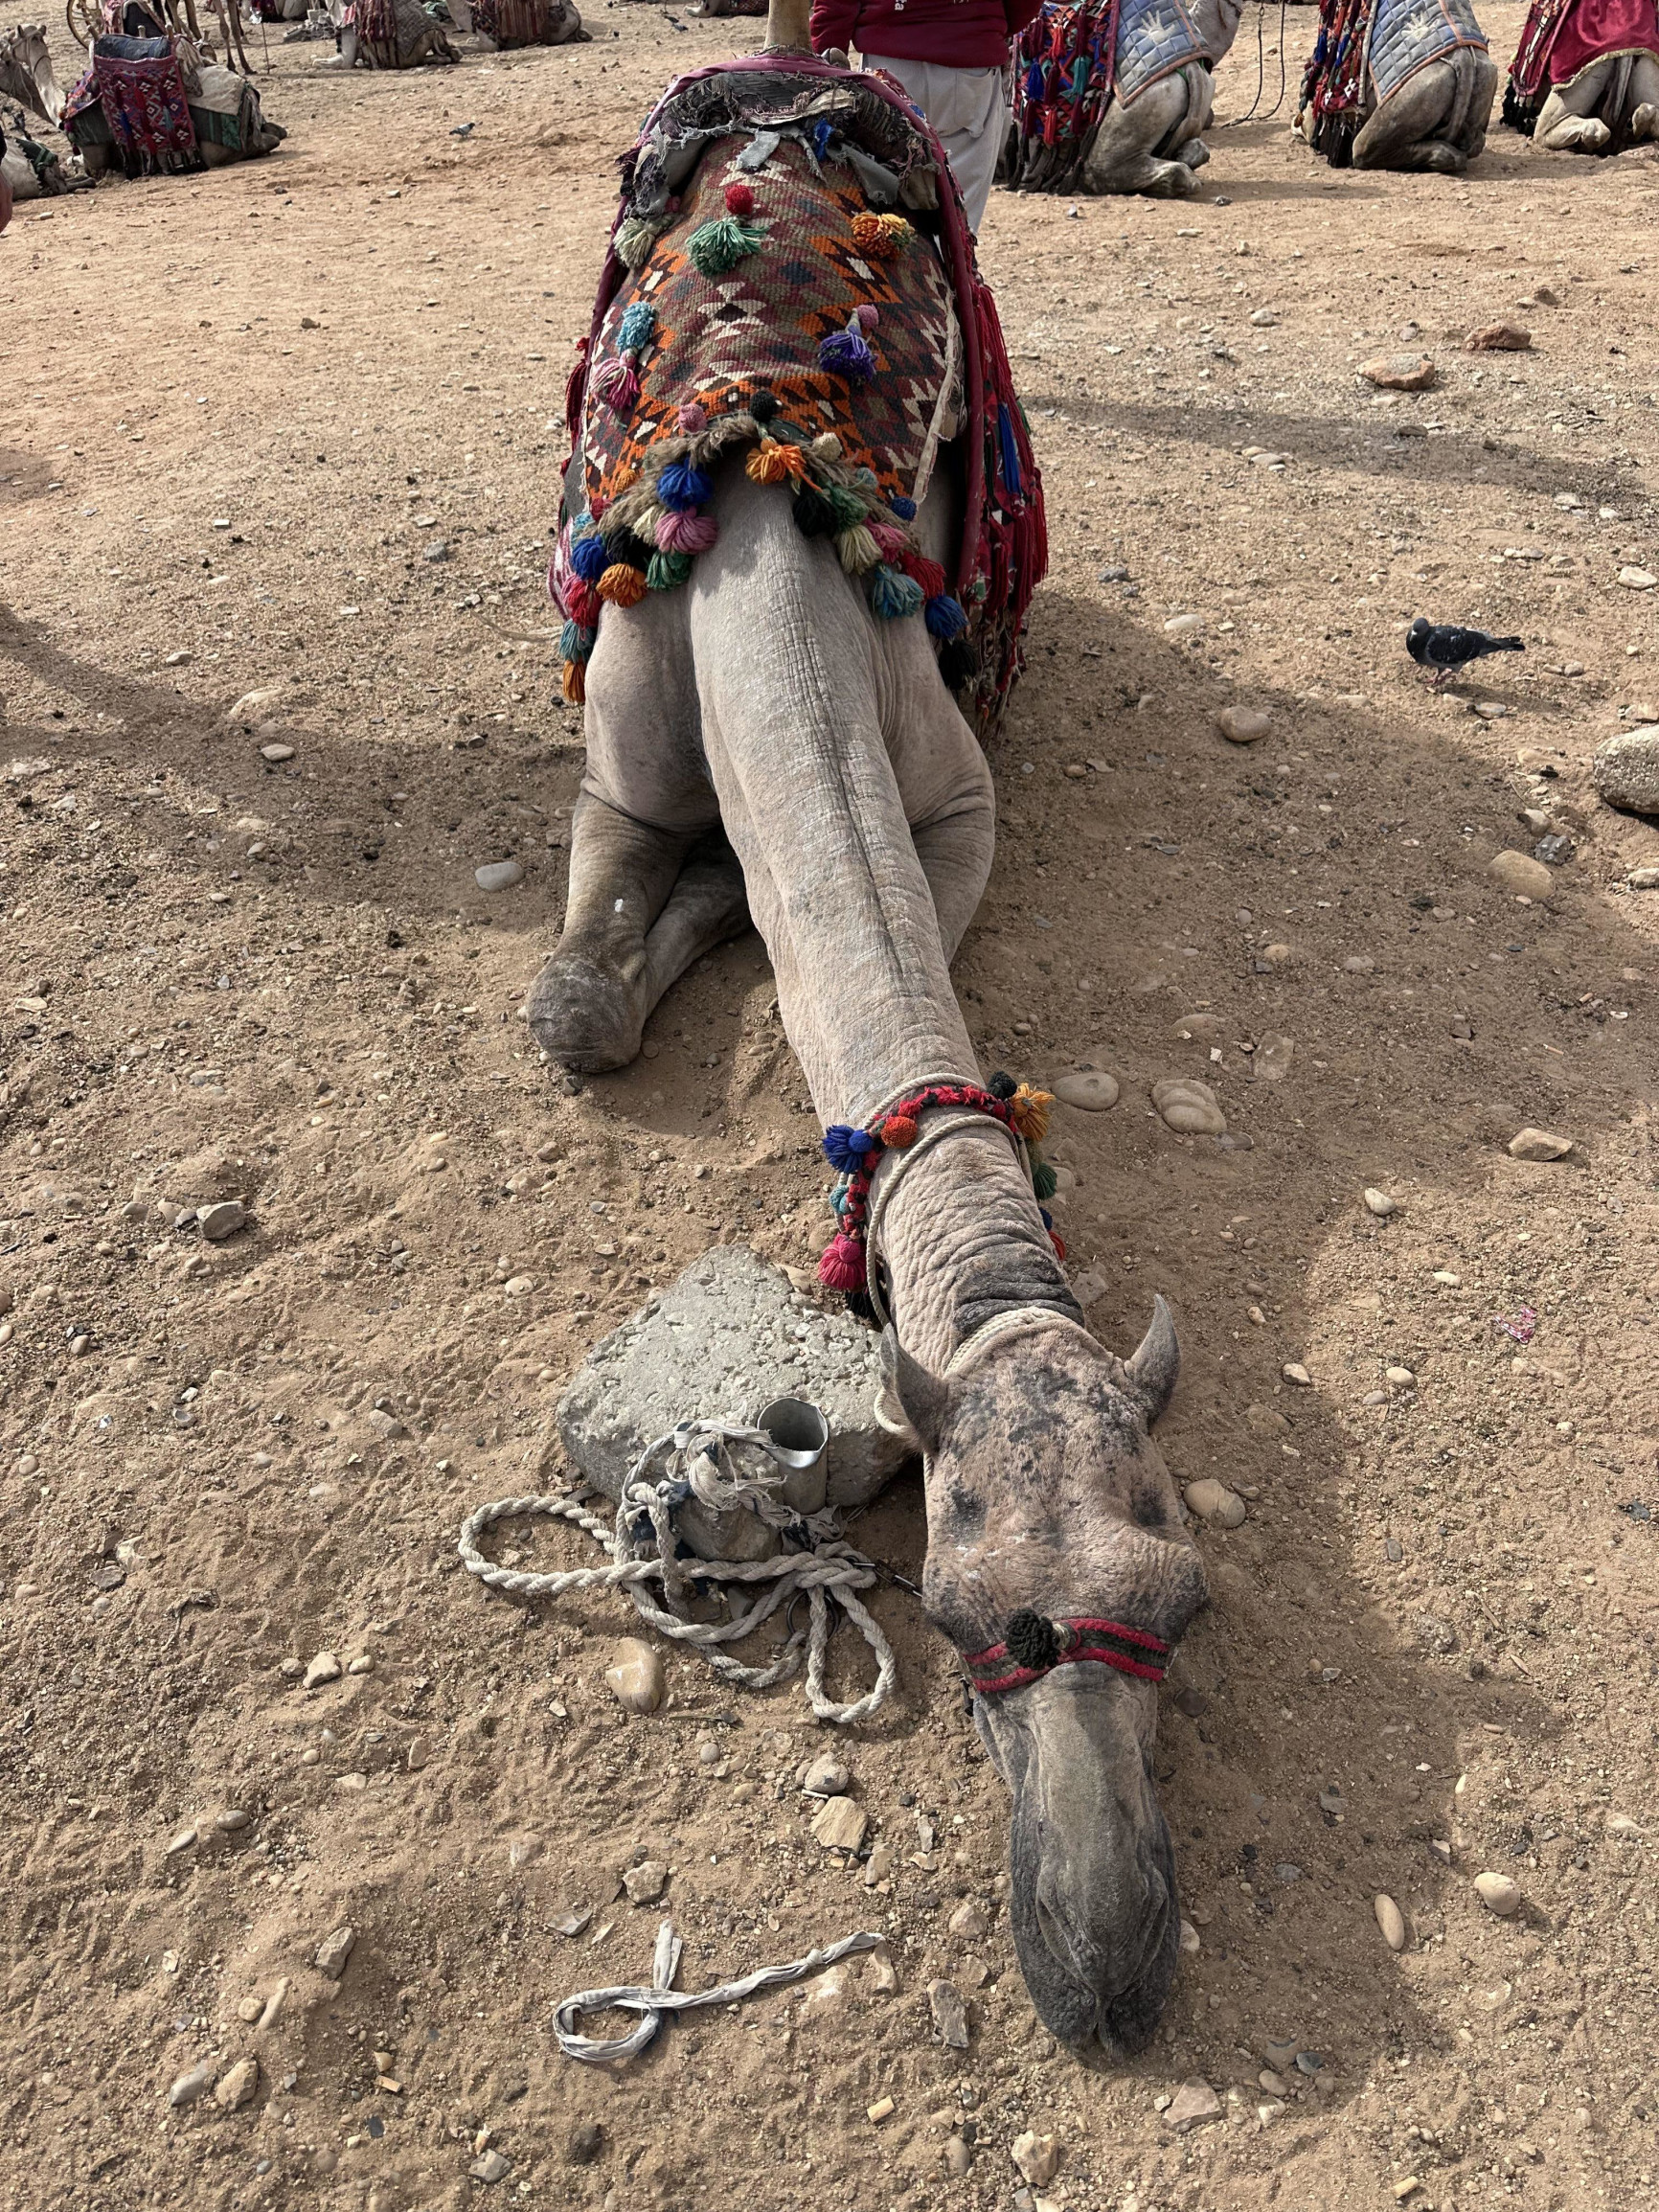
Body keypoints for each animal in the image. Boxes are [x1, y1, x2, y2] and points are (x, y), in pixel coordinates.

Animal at [528, 0, 1208, 2057]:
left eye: (1188, 1600)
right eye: (962, 1607)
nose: (1109, 1967)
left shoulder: (951, 782)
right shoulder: (624, 732)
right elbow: (580, 1001)